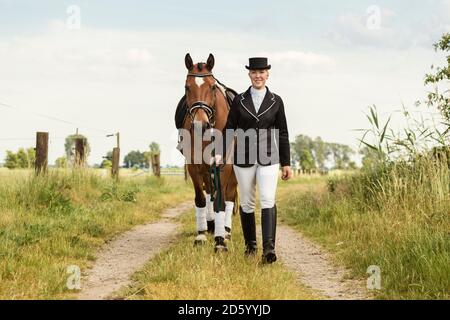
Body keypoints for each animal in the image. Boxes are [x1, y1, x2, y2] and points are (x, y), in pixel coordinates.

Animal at [178, 53, 239, 252]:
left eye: (212, 87)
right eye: (186, 87)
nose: (200, 124)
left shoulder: (224, 165)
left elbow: (221, 200)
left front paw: (220, 241)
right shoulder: (194, 166)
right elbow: (201, 199)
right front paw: (201, 235)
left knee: (229, 196)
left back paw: (226, 231)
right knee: (209, 192)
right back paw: (211, 225)